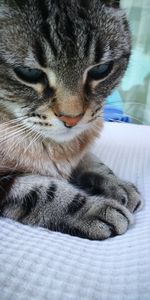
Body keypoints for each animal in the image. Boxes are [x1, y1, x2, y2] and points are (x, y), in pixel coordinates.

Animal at [0, 0, 142, 239]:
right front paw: (94, 208)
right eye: (28, 73)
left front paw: (116, 184)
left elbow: (90, 159)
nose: (72, 119)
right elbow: (43, 191)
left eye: (101, 69)